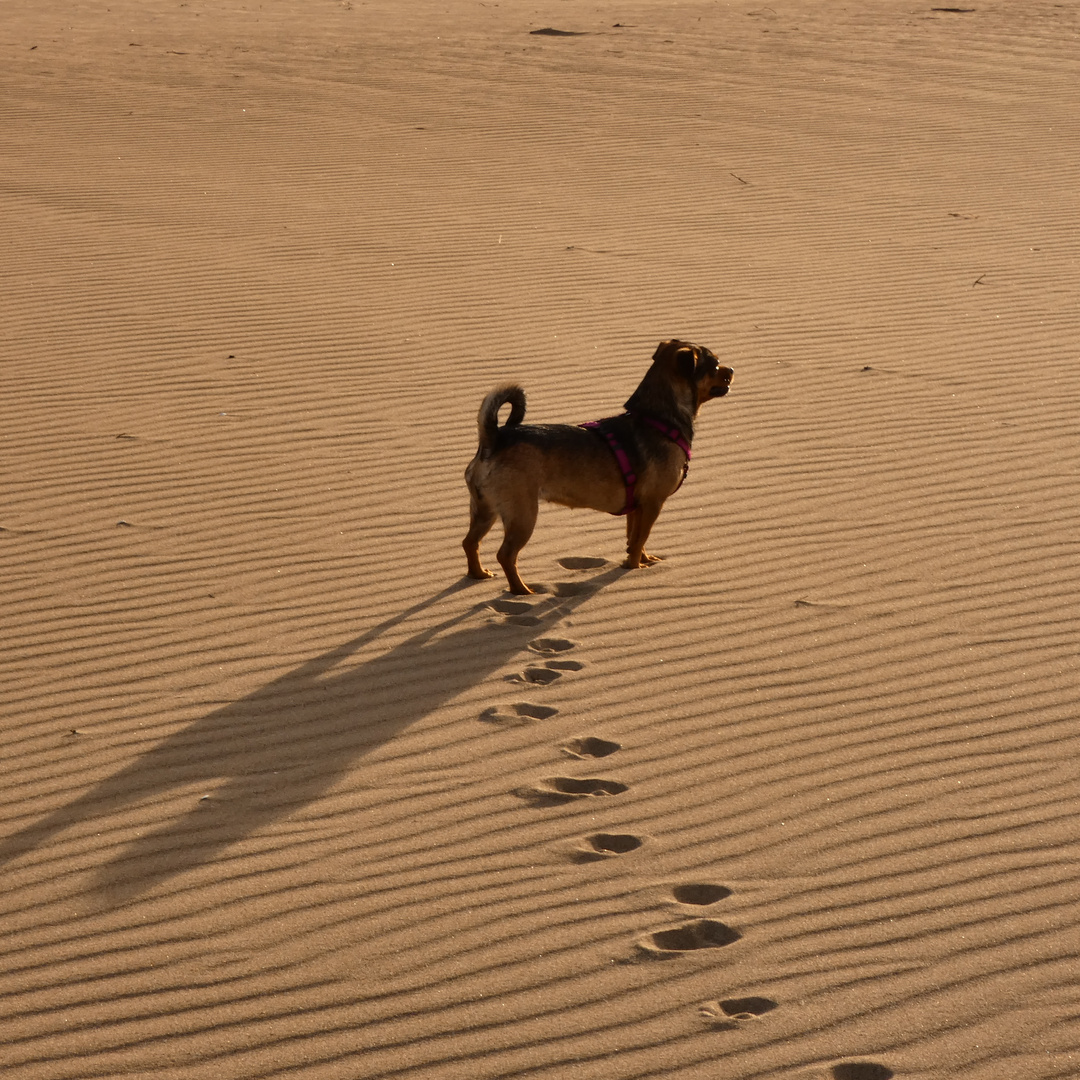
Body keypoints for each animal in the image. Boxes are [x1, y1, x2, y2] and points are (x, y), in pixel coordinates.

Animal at [464, 339, 734, 596]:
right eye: (715, 365)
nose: (731, 370)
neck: (658, 419)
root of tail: (494, 440)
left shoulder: (637, 507)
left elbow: (634, 539)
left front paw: (643, 560)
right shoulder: (653, 504)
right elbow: (639, 539)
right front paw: (634, 568)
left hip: (485, 510)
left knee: (469, 543)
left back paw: (479, 574)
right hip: (522, 516)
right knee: (506, 555)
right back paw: (521, 591)